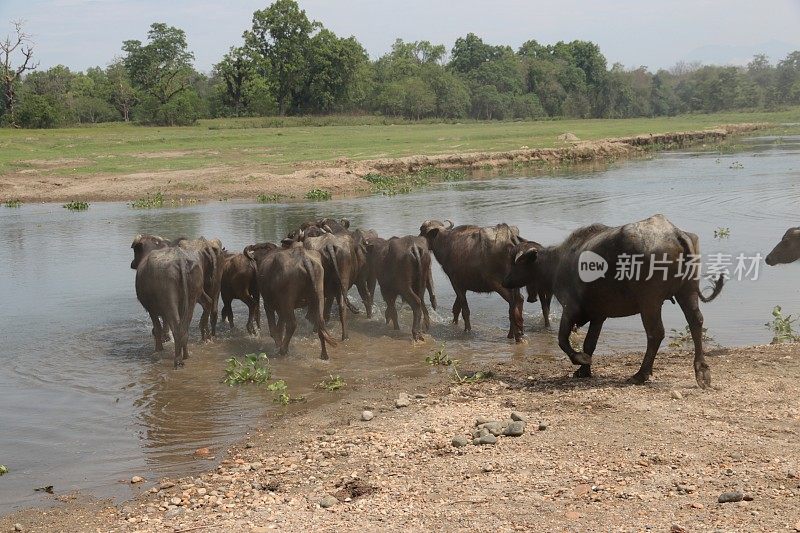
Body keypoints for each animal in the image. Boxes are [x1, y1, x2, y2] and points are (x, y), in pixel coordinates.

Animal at [500, 215, 724, 386]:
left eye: (516, 261)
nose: (505, 280)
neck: (556, 263)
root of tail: (675, 233)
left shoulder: (570, 308)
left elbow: (563, 339)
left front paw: (580, 360)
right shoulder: (599, 315)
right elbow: (590, 343)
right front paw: (584, 371)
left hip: (650, 301)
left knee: (656, 333)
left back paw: (641, 374)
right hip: (687, 291)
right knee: (696, 323)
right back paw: (702, 371)